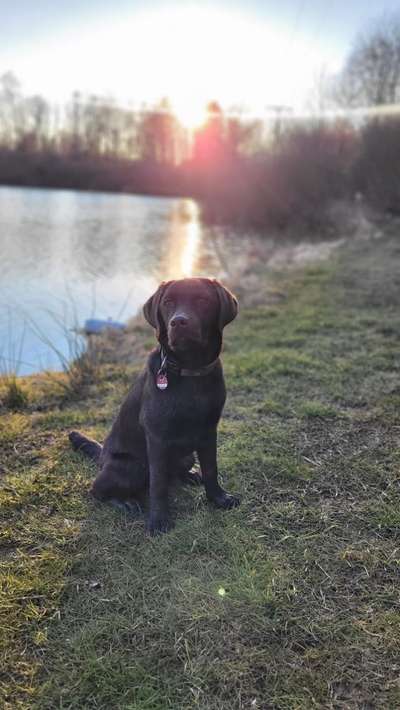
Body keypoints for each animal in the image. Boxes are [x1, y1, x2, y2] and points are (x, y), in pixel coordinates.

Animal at [68, 278, 241, 536]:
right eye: (168, 303)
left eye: (203, 300)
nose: (179, 322)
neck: (190, 371)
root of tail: (102, 459)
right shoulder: (157, 438)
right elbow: (158, 484)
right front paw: (159, 521)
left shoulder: (210, 430)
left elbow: (211, 468)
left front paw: (218, 498)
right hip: (131, 466)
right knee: (97, 490)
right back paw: (125, 502)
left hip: (186, 455)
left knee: (177, 471)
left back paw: (190, 475)